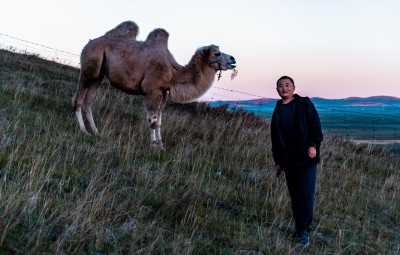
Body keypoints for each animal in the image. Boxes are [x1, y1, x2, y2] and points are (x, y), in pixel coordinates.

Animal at [72, 21, 236, 150]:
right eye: (217, 53)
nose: (233, 59)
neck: (174, 73)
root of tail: (89, 43)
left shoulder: (163, 92)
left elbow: (159, 121)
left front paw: (160, 145)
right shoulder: (152, 90)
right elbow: (152, 121)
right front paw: (153, 145)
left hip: (98, 76)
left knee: (88, 102)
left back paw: (96, 131)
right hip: (89, 67)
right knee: (78, 100)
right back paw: (83, 130)